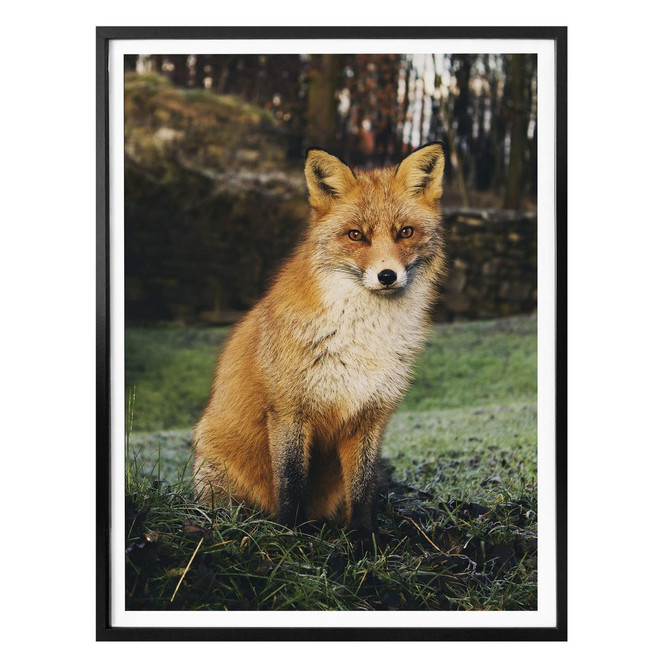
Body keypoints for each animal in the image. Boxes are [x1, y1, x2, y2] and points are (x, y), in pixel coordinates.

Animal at [193, 142, 446, 534]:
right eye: (356, 235)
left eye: (405, 232)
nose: (387, 275)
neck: (363, 339)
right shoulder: (289, 411)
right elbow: (291, 484)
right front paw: (290, 535)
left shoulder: (370, 415)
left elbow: (362, 491)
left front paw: (364, 539)